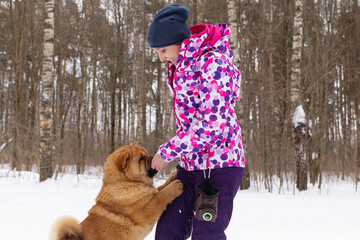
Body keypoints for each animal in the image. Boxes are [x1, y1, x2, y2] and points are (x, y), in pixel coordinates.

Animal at [50, 142, 183, 240]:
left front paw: (172, 177)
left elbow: (160, 188)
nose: (155, 157)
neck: (126, 182)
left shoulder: (150, 194)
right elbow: (161, 195)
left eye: (146, 153)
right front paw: (175, 186)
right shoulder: (146, 210)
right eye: (141, 158)